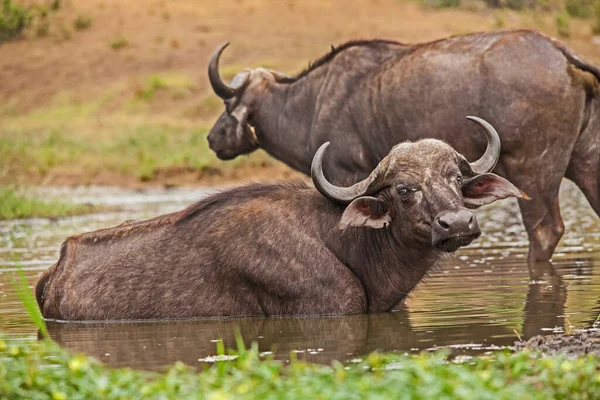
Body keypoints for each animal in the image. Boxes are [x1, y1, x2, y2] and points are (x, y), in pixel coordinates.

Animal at [209, 29, 600, 264]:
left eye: (228, 105)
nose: (212, 138)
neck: (310, 103)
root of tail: (558, 51)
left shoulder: (345, 175)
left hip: (533, 171)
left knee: (544, 231)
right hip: (586, 162)